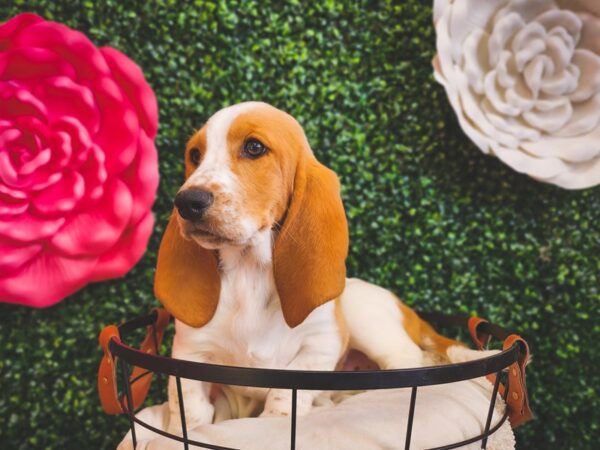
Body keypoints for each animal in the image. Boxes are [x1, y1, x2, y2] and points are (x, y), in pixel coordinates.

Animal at [154, 101, 460, 432]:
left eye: (254, 147)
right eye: (195, 155)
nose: (187, 202)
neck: (249, 272)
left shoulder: (321, 345)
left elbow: (286, 393)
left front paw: (274, 423)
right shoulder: (189, 352)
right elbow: (190, 409)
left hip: (366, 318)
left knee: (407, 368)